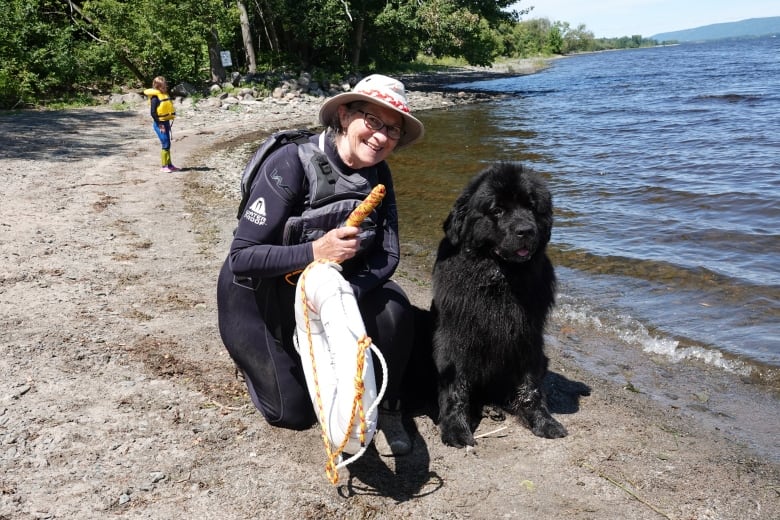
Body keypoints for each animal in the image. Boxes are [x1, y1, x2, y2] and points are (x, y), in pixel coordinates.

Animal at [430, 161, 564, 446]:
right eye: (497, 210)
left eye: (532, 207)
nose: (526, 231)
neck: (500, 280)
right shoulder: (455, 337)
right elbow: (456, 385)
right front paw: (456, 429)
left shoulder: (528, 337)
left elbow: (530, 386)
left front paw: (543, 421)